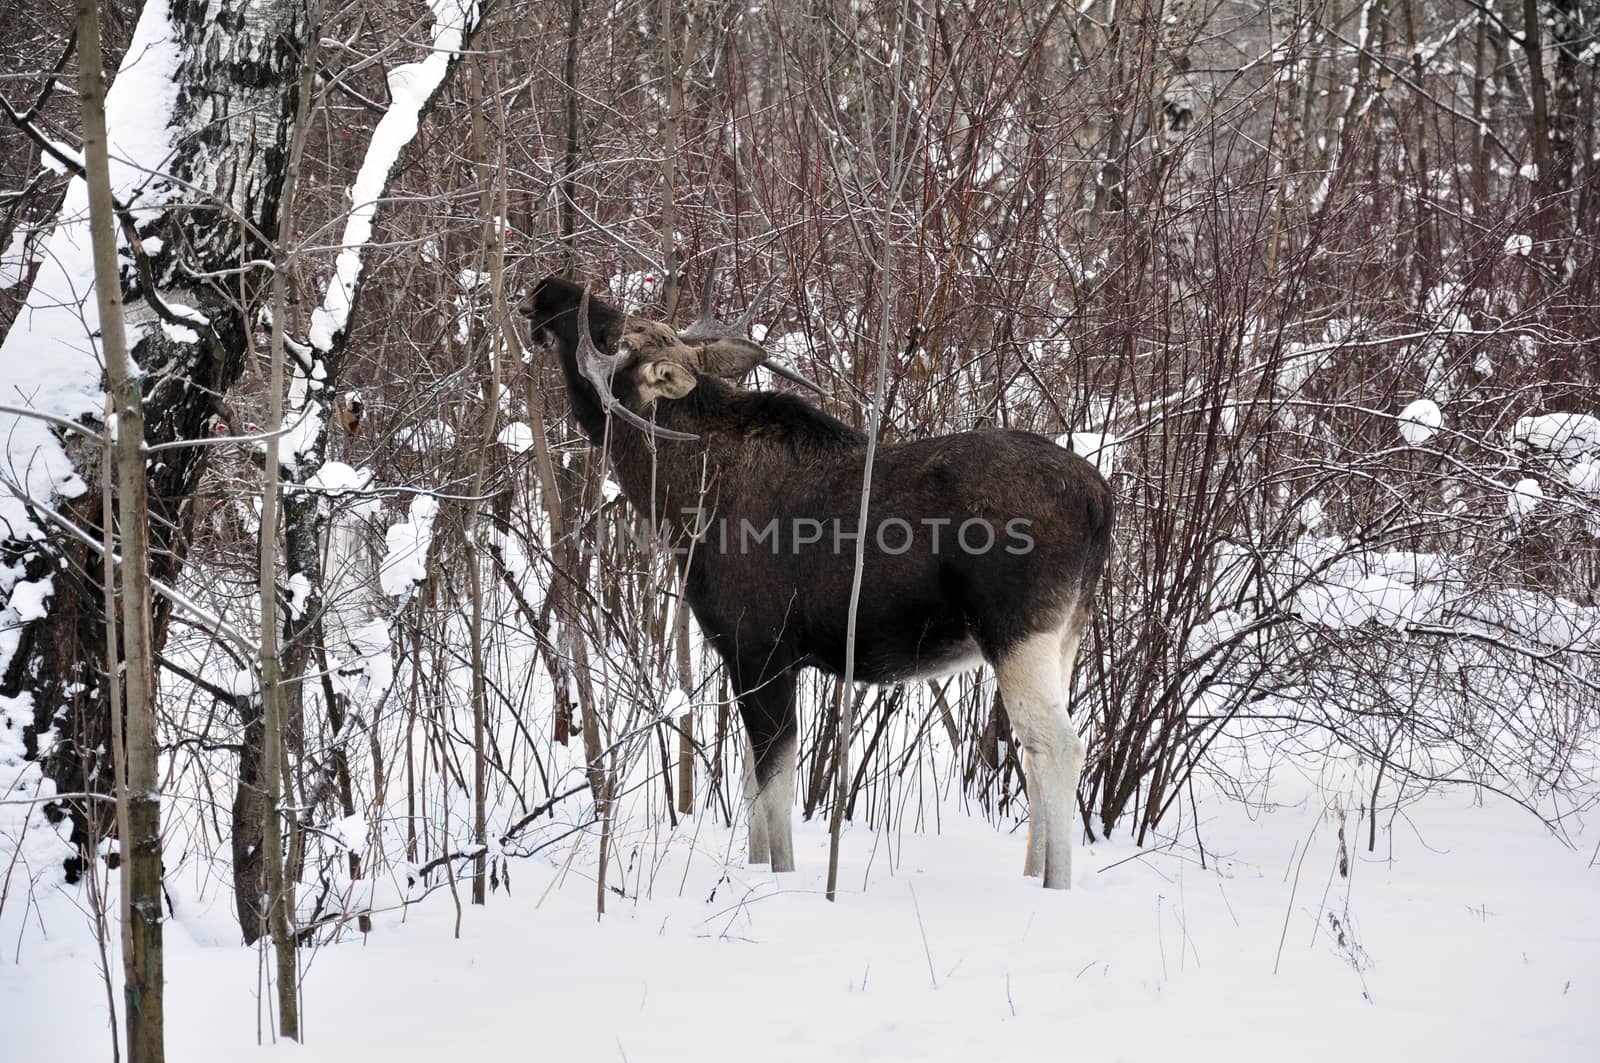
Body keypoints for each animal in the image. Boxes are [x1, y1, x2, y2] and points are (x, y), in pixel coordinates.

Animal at [518, 267, 1107, 890]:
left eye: (613, 338)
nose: (550, 289)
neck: (677, 503)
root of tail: (1103, 501)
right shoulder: (751, 662)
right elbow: (752, 782)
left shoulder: (760, 650)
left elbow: (774, 788)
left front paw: (779, 878)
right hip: (1064, 636)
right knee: (1034, 751)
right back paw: (1032, 875)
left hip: (1018, 633)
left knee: (1060, 748)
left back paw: (1055, 888)